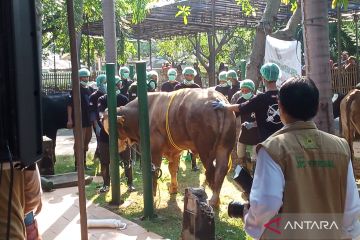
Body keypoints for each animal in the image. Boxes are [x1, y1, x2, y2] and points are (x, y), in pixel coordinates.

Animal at [104, 88, 236, 206]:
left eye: (110, 128)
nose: (115, 147)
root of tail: (218, 99)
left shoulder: (155, 151)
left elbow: (154, 172)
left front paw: (152, 195)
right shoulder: (175, 150)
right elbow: (172, 169)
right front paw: (173, 188)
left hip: (205, 151)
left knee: (211, 172)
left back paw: (213, 200)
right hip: (224, 148)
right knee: (221, 171)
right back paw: (216, 200)